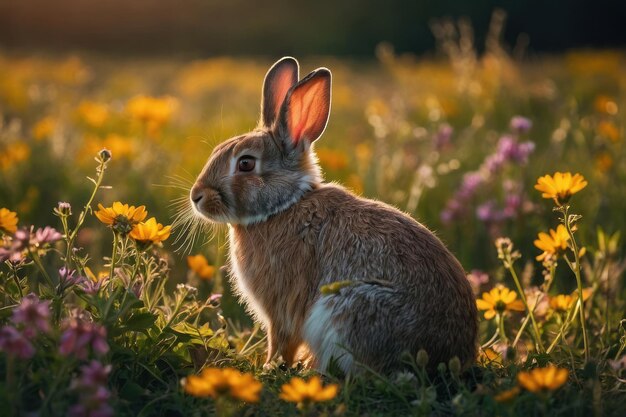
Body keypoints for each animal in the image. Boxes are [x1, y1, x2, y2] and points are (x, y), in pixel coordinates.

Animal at [188, 56, 476, 374]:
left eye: (246, 164)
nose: (196, 196)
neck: (283, 206)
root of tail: (450, 356)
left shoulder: (282, 307)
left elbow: (281, 340)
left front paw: (268, 368)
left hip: (351, 307)